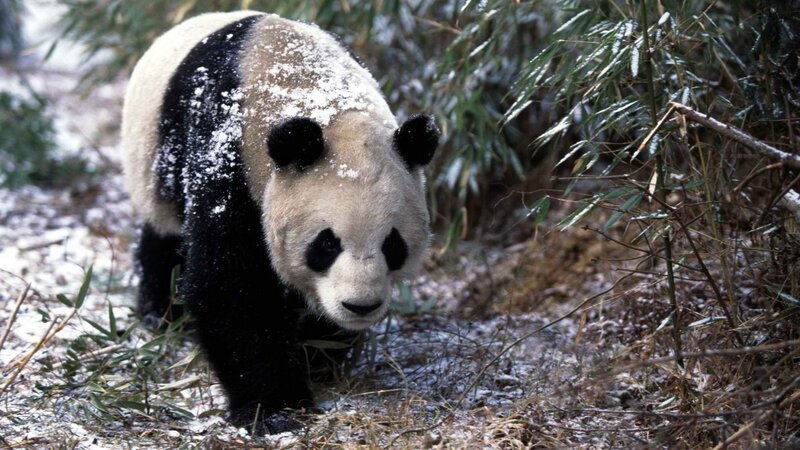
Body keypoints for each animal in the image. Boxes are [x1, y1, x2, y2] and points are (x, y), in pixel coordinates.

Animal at [122, 11, 439, 433]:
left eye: (393, 244)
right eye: (326, 244)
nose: (360, 305)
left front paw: (317, 355)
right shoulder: (226, 156)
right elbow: (230, 286)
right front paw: (275, 407)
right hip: (155, 164)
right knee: (165, 237)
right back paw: (162, 313)